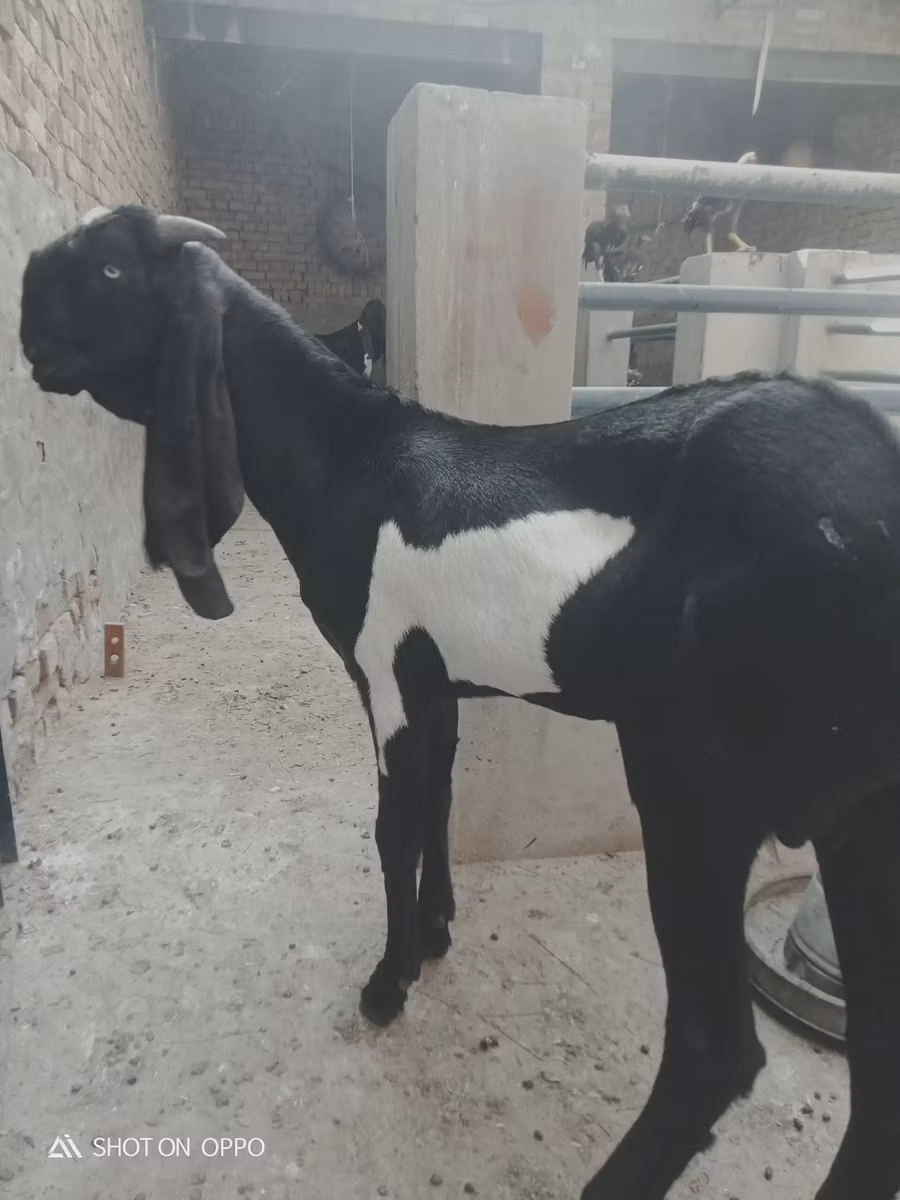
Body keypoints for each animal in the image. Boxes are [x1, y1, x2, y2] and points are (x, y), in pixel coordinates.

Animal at [20, 204, 900, 1200]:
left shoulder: (386, 671)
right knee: (879, 1039)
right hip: (864, 809)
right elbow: (440, 797)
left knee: (714, 1049)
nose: (26, 313)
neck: (349, 456)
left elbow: (393, 825)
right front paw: (438, 929)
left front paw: (388, 983)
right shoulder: (436, 680)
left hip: (697, 782)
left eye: (109, 269)